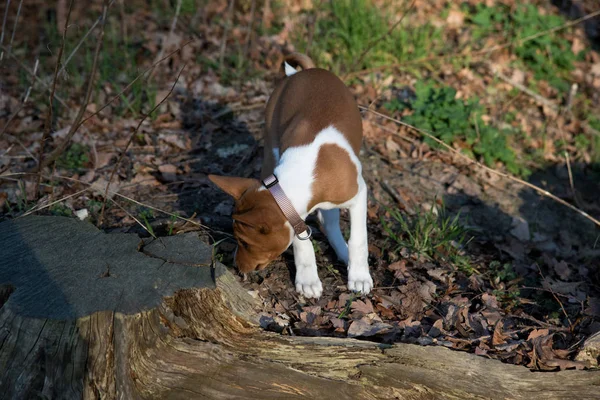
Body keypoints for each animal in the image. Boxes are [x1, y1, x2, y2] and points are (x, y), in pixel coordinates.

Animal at [209, 52, 372, 296]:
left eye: (244, 242)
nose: (237, 267)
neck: (307, 172)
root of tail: (301, 72)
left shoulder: (359, 194)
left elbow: (359, 240)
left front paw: (359, 276)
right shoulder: (295, 215)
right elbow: (301, 243)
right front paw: (308, 279)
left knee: (330, 220)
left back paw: (344, 253)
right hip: (270, 145)